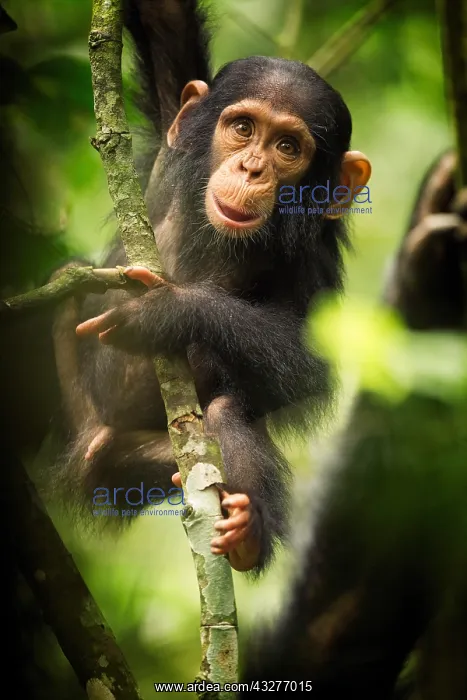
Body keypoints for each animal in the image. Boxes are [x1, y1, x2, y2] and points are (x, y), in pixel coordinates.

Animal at [51, 0, 371, 575]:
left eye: (287, 146)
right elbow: (166, 26)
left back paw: (245, 532)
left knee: (223, 416)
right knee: (65, 278)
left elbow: (310, 361)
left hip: (140, 466)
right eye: (242, 127)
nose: (252, 166)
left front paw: (166, 311)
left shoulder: (311, 267)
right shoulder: (171, 131)